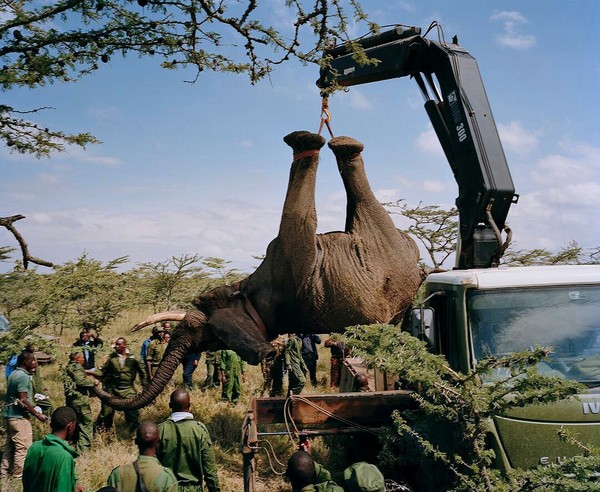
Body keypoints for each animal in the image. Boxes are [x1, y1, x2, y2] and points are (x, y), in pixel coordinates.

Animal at [95, 129, 422, 410]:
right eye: (212, 342)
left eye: (195, 329)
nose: (94, 385)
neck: (247, 291)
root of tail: (416, 259)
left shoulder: (288, 261)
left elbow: (297, 222)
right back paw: (338, 145)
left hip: (381, 247)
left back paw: (309, 141)